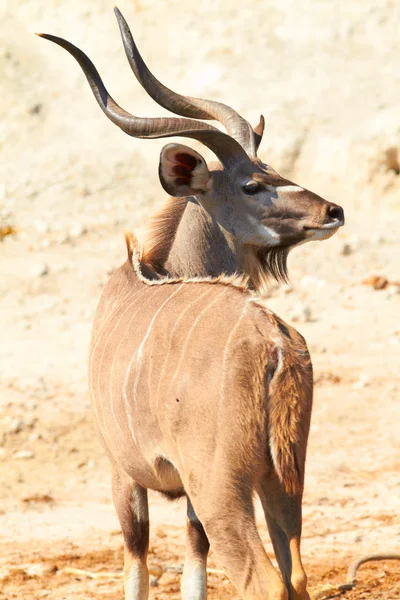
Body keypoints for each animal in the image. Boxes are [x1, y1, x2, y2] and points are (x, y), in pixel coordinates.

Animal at [38, 9, 344, 600]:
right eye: (253, 183)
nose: (333, 210)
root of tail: (275, 345)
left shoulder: (125, 471)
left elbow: (137, 565)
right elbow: (192, 566)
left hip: (222, 487)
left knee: (264, 579)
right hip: (283, 479)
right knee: (296, 574)